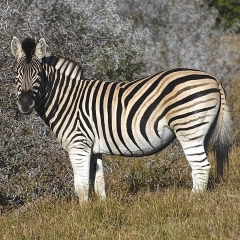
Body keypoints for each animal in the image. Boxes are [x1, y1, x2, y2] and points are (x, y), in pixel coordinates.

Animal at [10, 37, 231, 202]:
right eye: (16, 74)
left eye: (39, 74)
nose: (25, 104)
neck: (67, 100)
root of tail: (213, 78)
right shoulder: (94, 148)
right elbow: (98, 183)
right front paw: (101, 211)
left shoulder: (78, 144)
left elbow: (81, 186)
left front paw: (82, 215)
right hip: (202, 131)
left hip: (188, 128)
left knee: (201, 167)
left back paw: (192, 202)